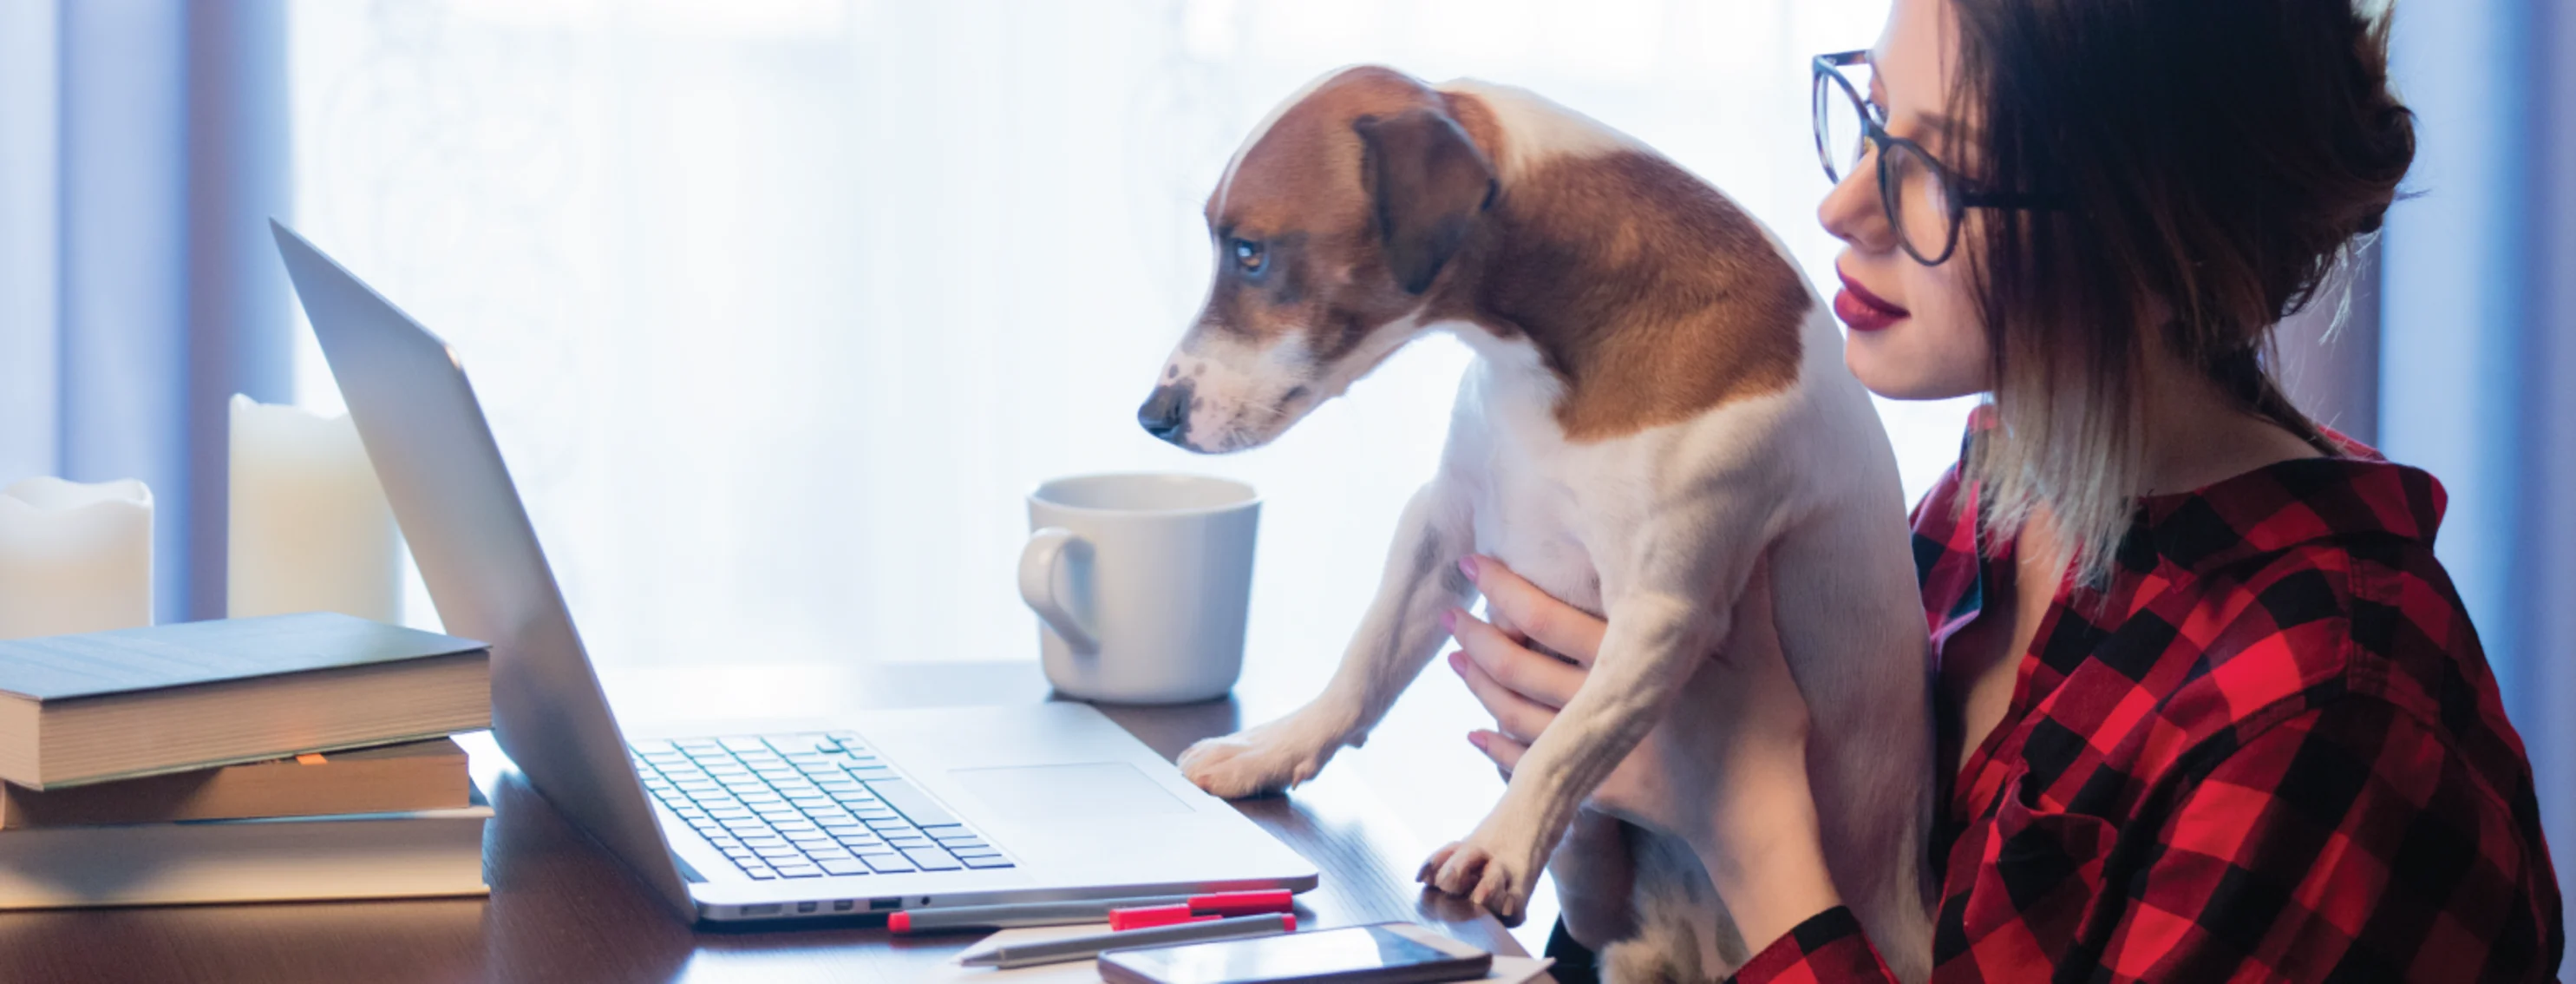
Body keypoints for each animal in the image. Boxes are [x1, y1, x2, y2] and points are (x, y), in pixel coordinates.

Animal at [1143, 65, 1937, 979]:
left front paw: (1501, 846)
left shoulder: (1661, 616)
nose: (1153, 415)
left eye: (1251, 251)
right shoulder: (1444, 521)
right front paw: (1272, 749)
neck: (1551, 360)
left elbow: (1564, 747)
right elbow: (1366, 662)